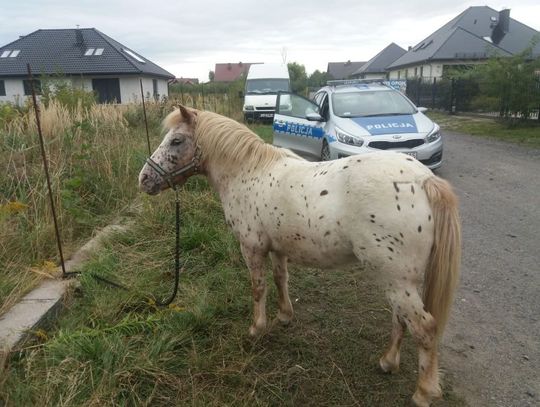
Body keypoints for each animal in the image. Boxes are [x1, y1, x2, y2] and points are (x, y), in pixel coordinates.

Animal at [138, 106, 460, 407]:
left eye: (177, 140)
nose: (144, 179)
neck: (248, 171)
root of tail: (424, 180)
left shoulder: (252, 248)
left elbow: (258, 288)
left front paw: (257, 329)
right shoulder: (279, 248)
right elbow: (281, 279)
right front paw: (284, 316)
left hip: (396, 279)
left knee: (424, 328)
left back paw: (423, 392)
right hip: (398, 279)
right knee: (400, 318)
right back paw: (388, 362)